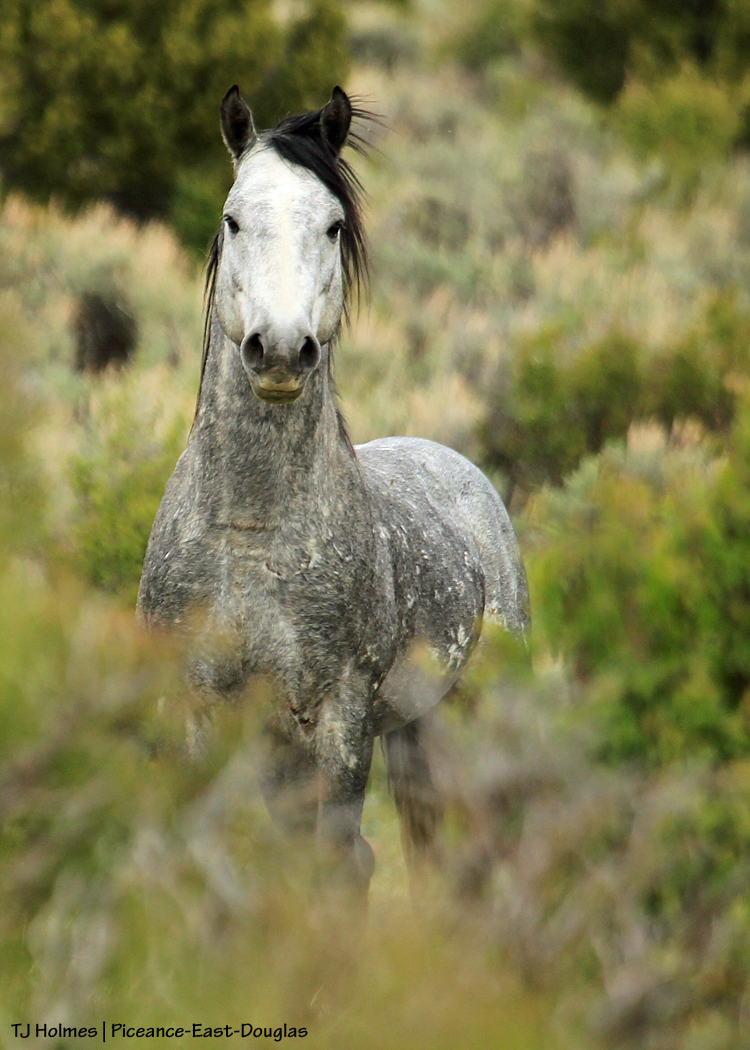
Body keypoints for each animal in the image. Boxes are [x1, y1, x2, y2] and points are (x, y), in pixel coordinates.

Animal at [137, 85, 529, 903]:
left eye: (333, 224)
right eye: (233, 218)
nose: (282, 350)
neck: (248, 531)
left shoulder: (340, 719)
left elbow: (334, 867)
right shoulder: (199, 710)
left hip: (462, 719)